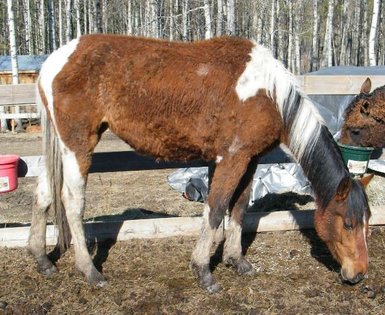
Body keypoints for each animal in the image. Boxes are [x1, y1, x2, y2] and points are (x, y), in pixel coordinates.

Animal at [29, 35, 372, 296]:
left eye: (366, 222)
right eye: (348, 223)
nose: (358, 274)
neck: (270, 93)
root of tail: (54, 62)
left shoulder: (250, 159)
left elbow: (239, 208)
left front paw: (237, 261)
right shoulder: (232, 158)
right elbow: (217, 208)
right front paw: (203, 272)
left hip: (58, 145)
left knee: (43, 194)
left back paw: (42, 260)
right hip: (77, 145)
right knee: (72, 202)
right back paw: (90, 271)